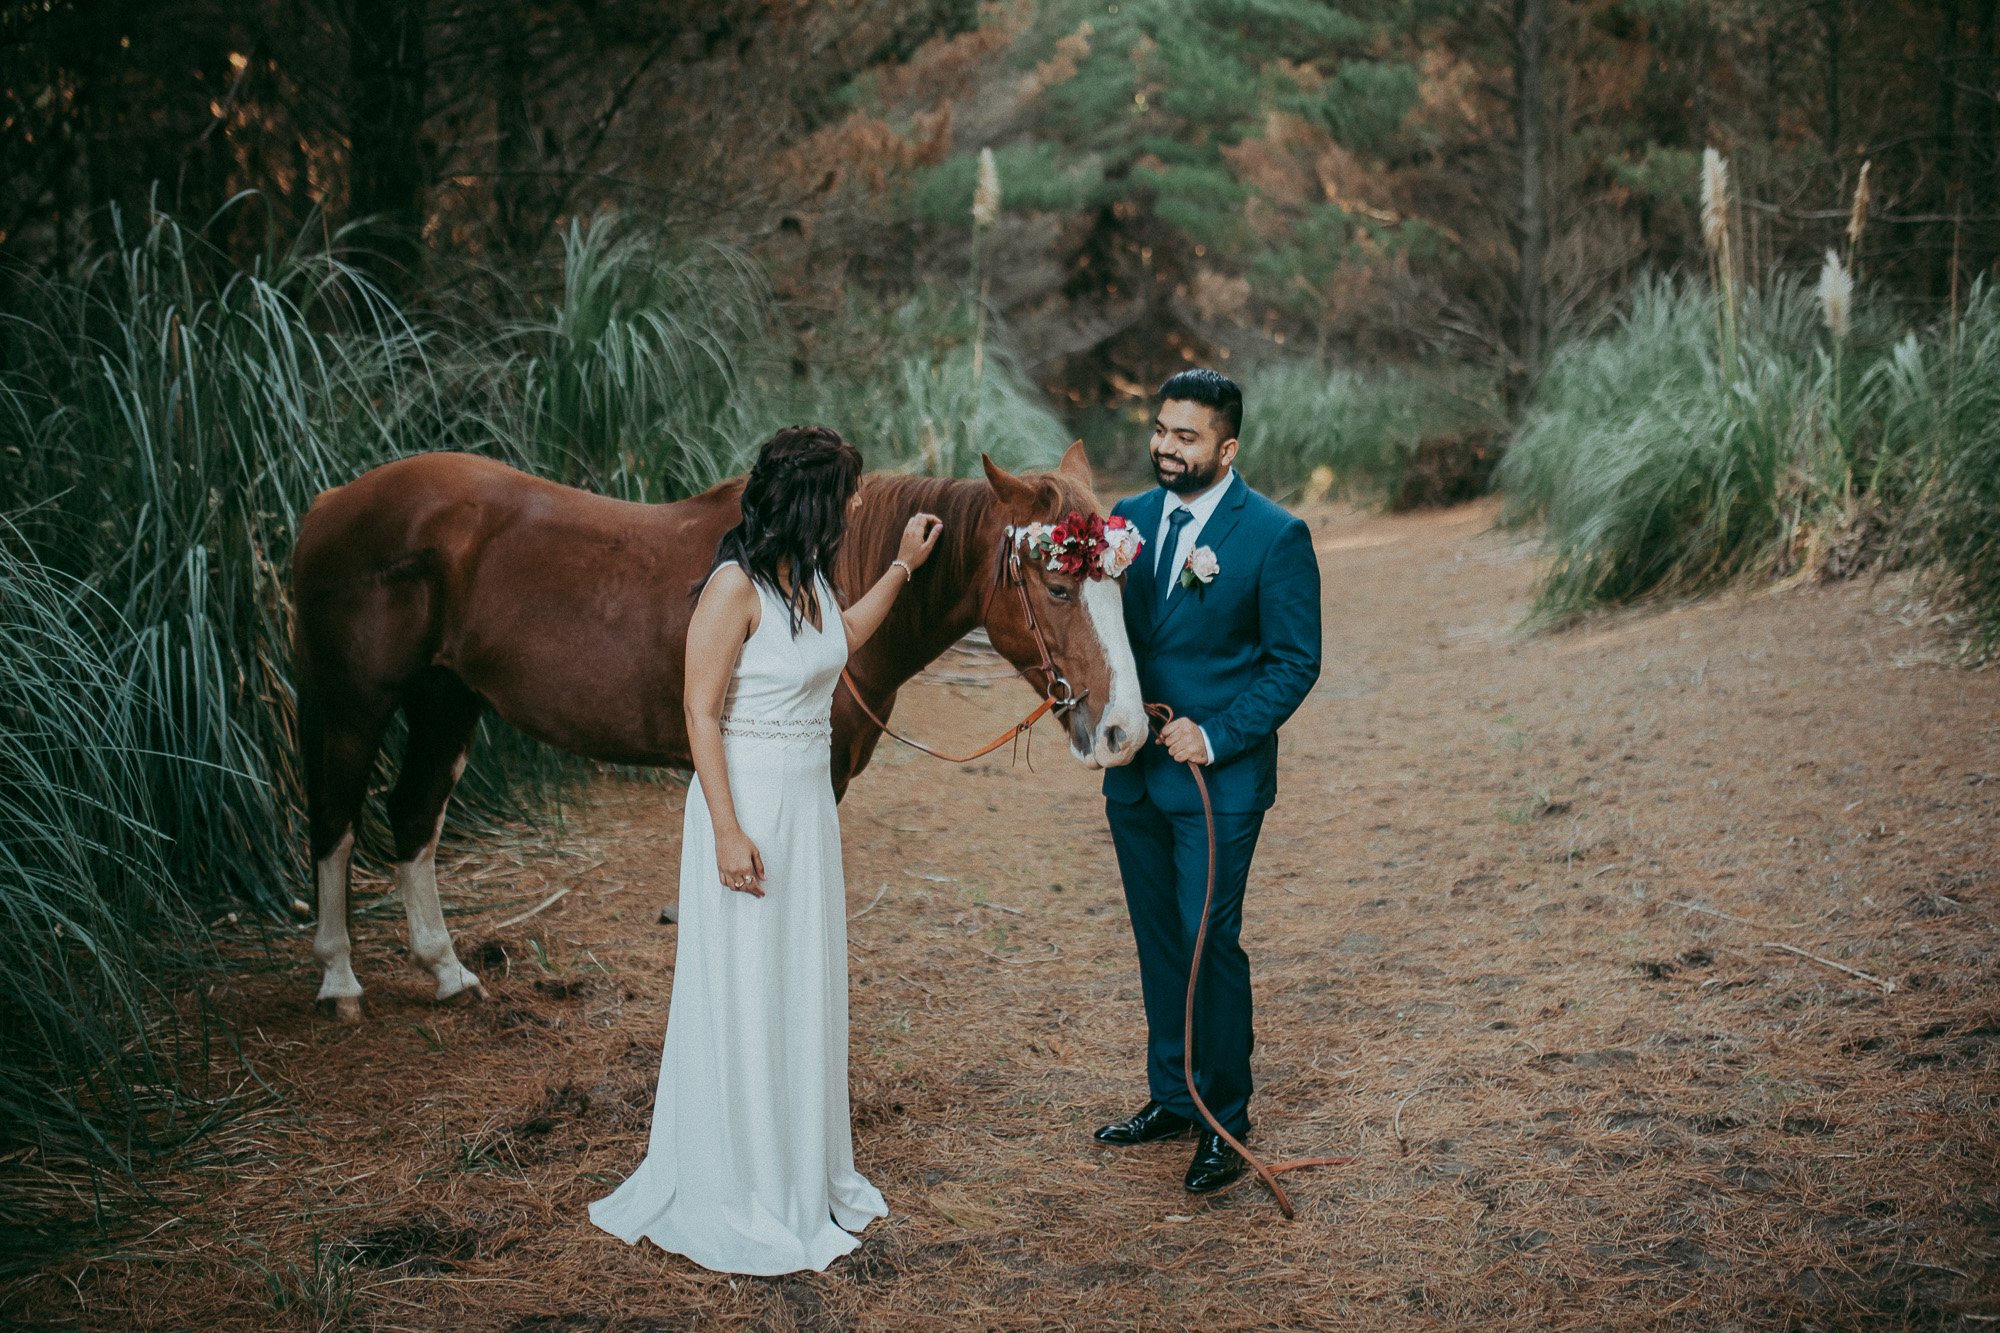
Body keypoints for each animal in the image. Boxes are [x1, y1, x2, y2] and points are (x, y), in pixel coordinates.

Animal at [290, 440, 1152, 1012]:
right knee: (334, 820)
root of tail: (331, 503)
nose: (1125, 730)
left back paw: (445, 969)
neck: (817, 574)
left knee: (412, 816)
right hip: (354, 704)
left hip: (447, 698)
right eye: (1057, 587)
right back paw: (339, 979)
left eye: (1118, 583)